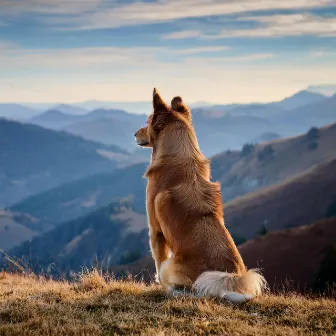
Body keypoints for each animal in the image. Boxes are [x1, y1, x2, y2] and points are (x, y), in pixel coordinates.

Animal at [135, 88, 268, 302]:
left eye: (147, 122)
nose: (134, 134)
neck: (179, 153)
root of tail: (229, 280)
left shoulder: (155, 230)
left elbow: (157, 259)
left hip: (171, 266)